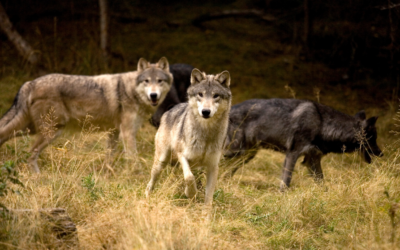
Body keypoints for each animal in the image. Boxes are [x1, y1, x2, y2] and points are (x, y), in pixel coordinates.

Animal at [0, 57, 173, 174]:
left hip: (32, 129)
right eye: (146, 81)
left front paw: (106, 175)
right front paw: (137, 175)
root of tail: (30, 83)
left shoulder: (114, 132)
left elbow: (109, 157)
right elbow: (133, 157)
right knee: (30, 153)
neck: (130, 91)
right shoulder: (127, 132)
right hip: (50, 131)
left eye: (159, 81)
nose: (153, 95)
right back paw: (38, 177)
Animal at [146, 67, 231, 206]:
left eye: (216, 96)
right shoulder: (182, 155)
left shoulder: (213, 167)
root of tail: (171, 109)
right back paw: (147, 198)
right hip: (161, 162)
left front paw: (205, 212)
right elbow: (189, 177)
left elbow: (208, 198)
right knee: (150, 183)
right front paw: (191, 193)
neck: (206, 134)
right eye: (200, 94)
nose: (205, 112)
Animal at [223, 98, 382, 190]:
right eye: (373, 139)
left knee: (226, 172)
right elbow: (286, 182)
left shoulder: (311, 160)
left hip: (246, 156)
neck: (322, 124)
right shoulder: (292, 154)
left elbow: (322, 183)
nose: (381, 153)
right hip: (235, 152)